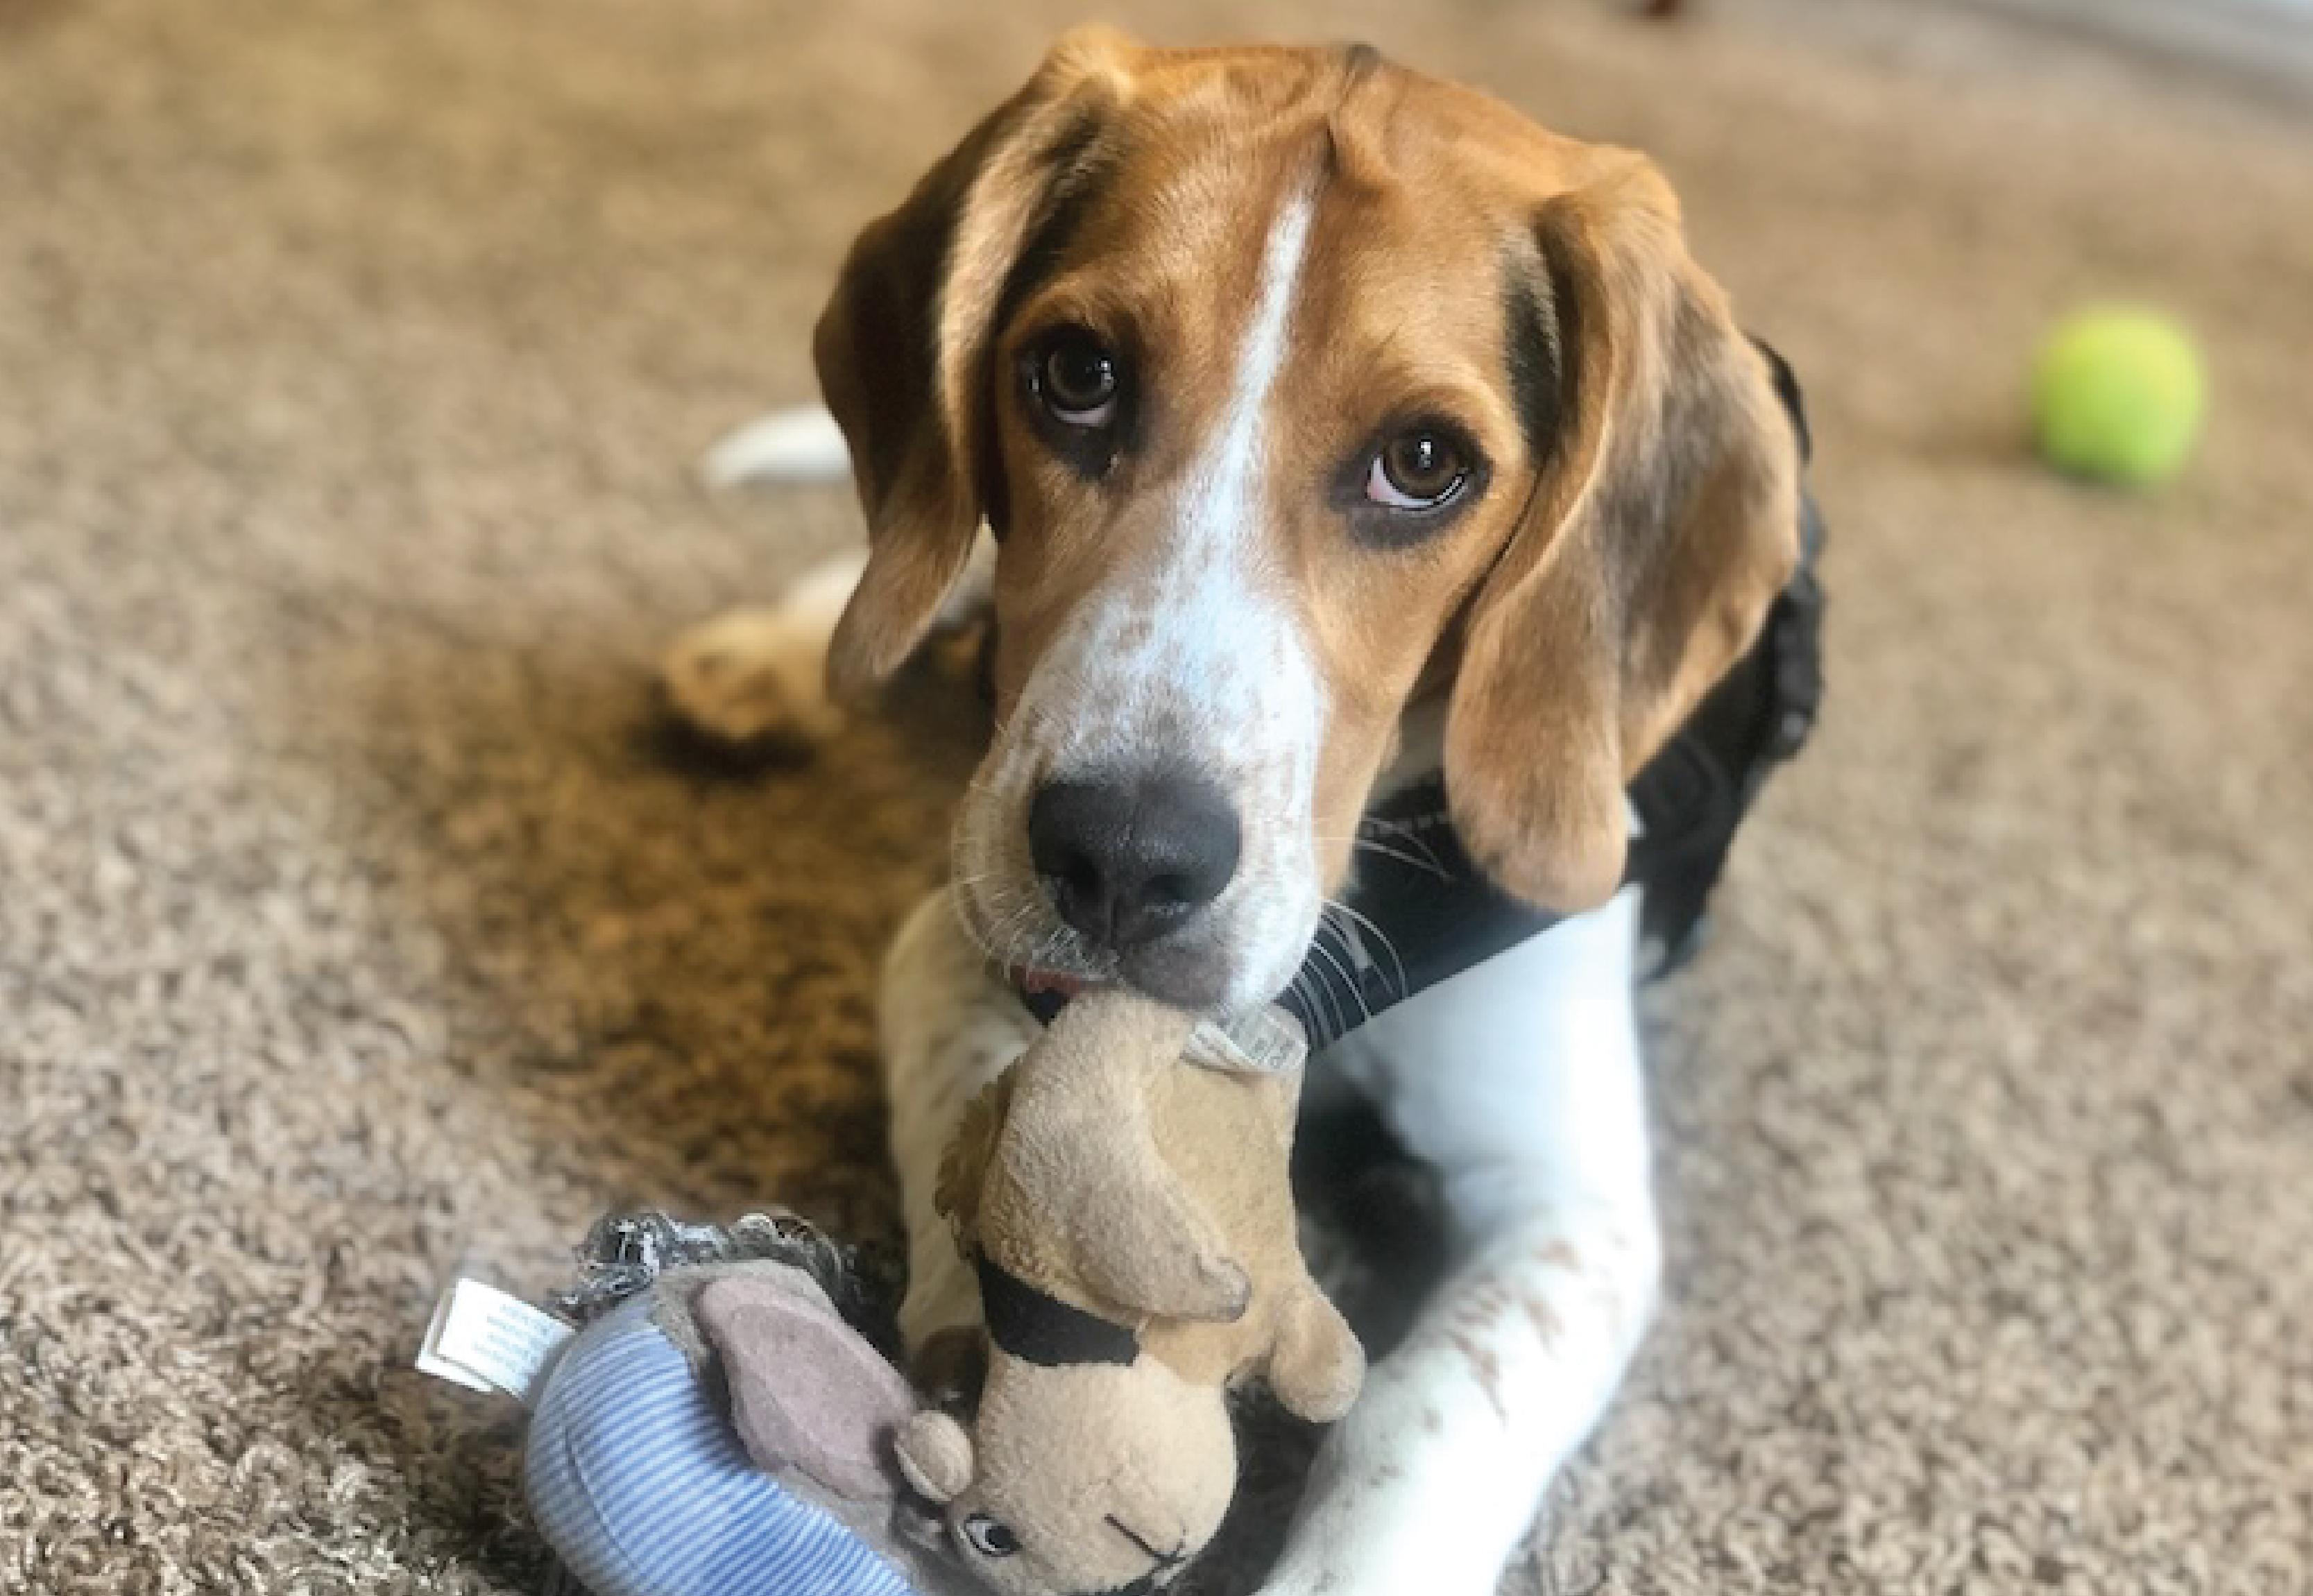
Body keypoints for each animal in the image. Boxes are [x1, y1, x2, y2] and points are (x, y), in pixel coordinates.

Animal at [670, 34, 1804, 1591]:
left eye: (1424, 463)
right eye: (1075, 374)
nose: (1116, 860)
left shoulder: (1568, 1204)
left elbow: (1426, 1402)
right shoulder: (951, 943)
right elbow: (992, 1148)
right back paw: (769, 654)